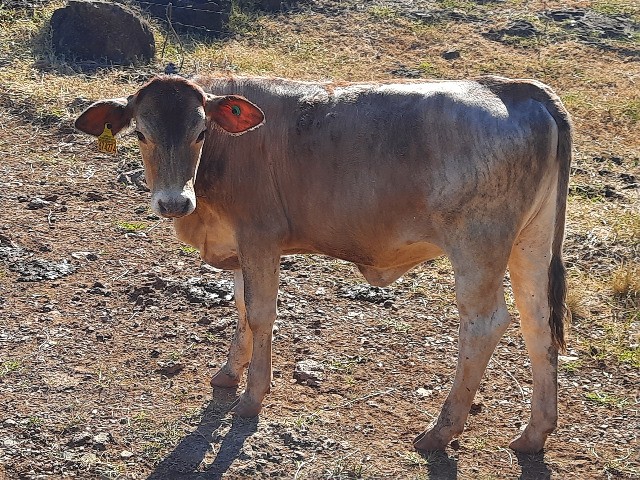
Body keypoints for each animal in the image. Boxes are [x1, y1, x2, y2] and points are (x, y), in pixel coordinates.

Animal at [75, 75, 568, 454]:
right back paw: (534, 433)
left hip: (477, 246)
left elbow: (260, 313)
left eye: (200, 133)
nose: (173, 202)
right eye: (141, 134)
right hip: (531, 242)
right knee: (537, 321)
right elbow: (240, 307)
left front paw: (252, 396)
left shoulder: (260, 236)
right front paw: (229, 373)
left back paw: (440, 431)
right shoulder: (237, 246)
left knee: (485, 325)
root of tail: (511, 88)